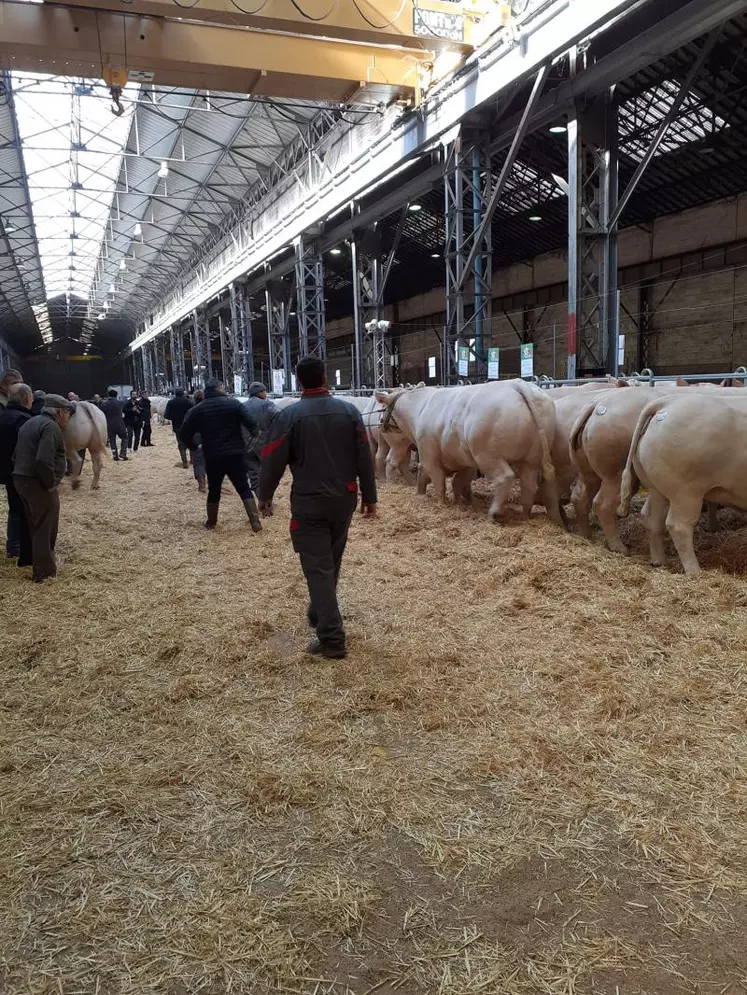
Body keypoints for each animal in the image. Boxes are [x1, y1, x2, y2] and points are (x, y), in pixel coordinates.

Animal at [374, 380, 560, 520]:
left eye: (385, 408)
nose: (381, 422)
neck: (420, 409)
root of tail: (518, 385)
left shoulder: (429, 455)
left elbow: (439, 482)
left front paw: (442, 504)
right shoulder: (464, 461)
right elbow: (458, 482)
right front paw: (460, 503)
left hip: (487, 454)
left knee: (505, 477)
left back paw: (494, 512)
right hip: (532, 459)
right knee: (529, 485)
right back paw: (525, 515)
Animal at [624, 392, 747, 572]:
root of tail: (667, 402)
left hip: (656, 488)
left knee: (652, 518)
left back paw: (659, 561)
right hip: (686, 491)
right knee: (679, 526)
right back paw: (695, 571)